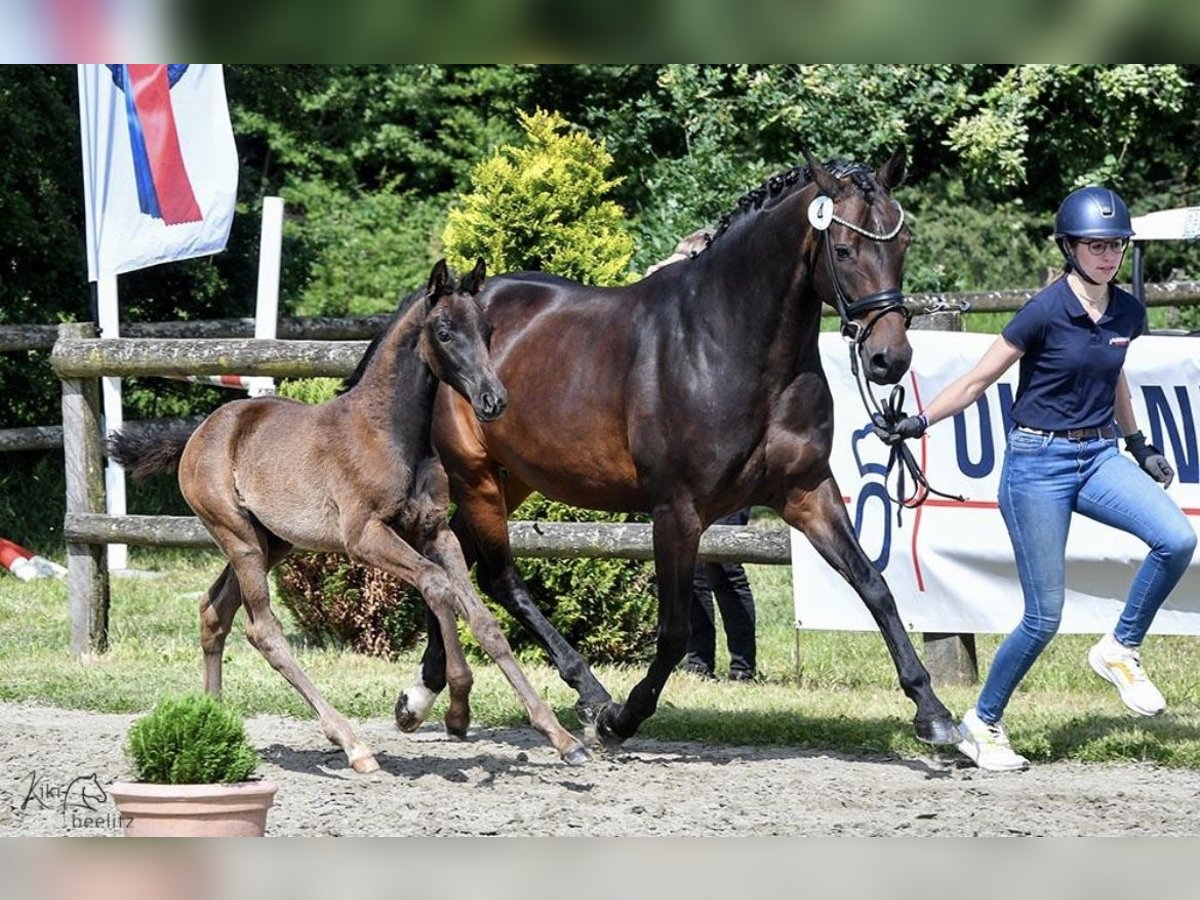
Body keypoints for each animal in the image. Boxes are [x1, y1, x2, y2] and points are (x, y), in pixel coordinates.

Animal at [110, 260, 588, 777]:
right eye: (444, 332)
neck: (389, 433)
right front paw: (455, 708)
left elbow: (483, 621)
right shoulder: (364, 536)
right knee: (263, 630)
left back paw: (213, 720)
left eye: (488, 330)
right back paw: (352, 744)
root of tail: (200, 431)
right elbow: (436, 585)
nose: (493, 399)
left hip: (272, 542)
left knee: (213, 610)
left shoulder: (434, 531)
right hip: (237, 536)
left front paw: (562, 738)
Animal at [398, 151, 960, 748]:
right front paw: (622, 719)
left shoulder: (807, 492)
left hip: (513, 477)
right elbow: (672, 631)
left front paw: (934, 713)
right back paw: (586, 695)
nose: (889, 359)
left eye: (903, 244)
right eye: (846, 248)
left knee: (457, 558)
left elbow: (874, 585)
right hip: (475, 472)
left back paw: (426, 690)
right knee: (495, 576)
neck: (731, 345)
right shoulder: (677, 511)